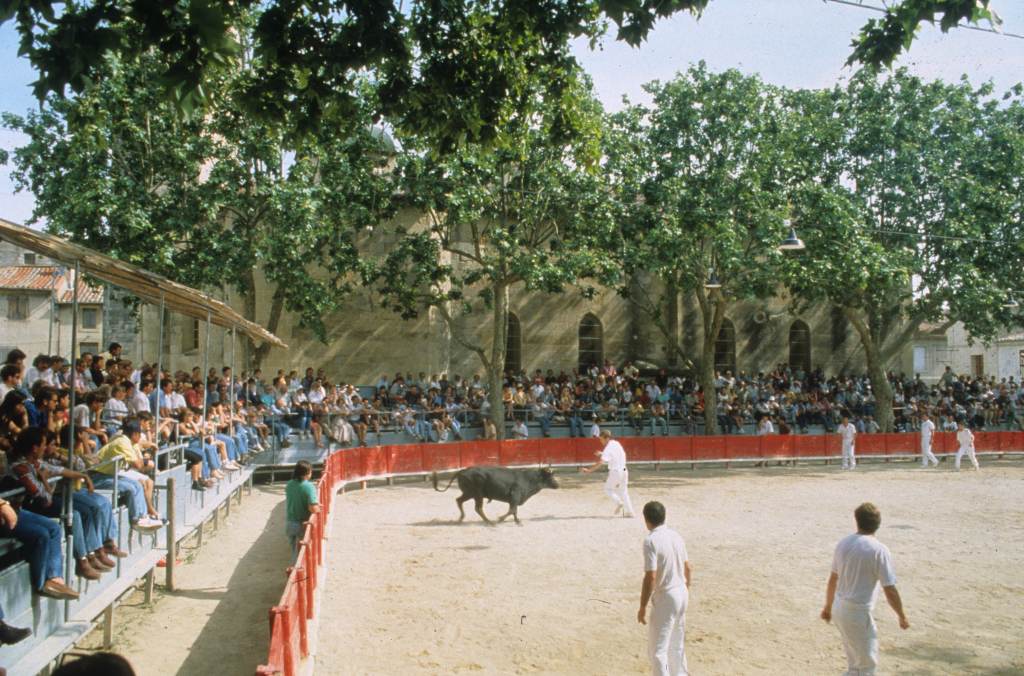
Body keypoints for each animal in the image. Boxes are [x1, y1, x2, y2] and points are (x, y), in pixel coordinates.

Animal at [432, 467, 561, 524]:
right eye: (550, 477)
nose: (558, 485)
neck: (528, 479)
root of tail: (462, 471)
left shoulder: (515, 499)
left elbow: (514, 511)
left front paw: (518, 521)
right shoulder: (515, 496)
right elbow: (512, 510)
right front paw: (500, 519)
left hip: (469, 493)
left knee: (459, 500)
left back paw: (461, 519)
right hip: (477, 493)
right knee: (478, 508)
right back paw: (489, 521)